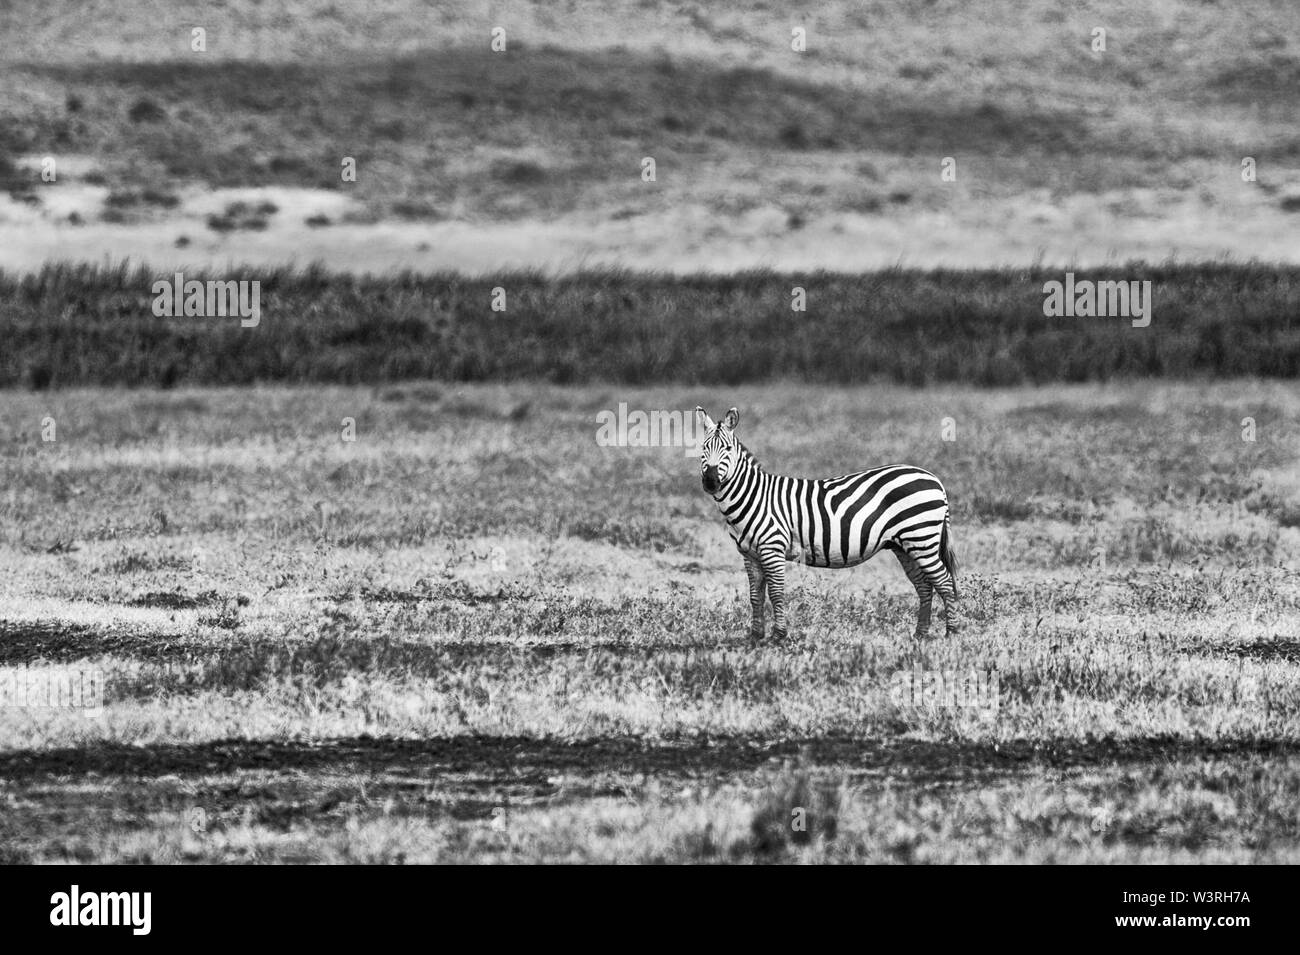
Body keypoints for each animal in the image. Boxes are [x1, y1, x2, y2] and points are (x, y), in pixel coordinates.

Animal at [696, 405, 961, 641]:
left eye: (727, 449)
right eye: (703, 448)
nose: (710, 481)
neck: (754, 497)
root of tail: (933, 478)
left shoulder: (773, 549)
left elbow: (776, 593)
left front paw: (779, 636)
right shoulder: (749, 554)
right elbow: (755, 596)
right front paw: (755, 637)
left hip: (921, 539)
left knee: (945, 582)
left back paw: (952, 633)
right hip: (904, 545)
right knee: (924, 585)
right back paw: (921, 634)